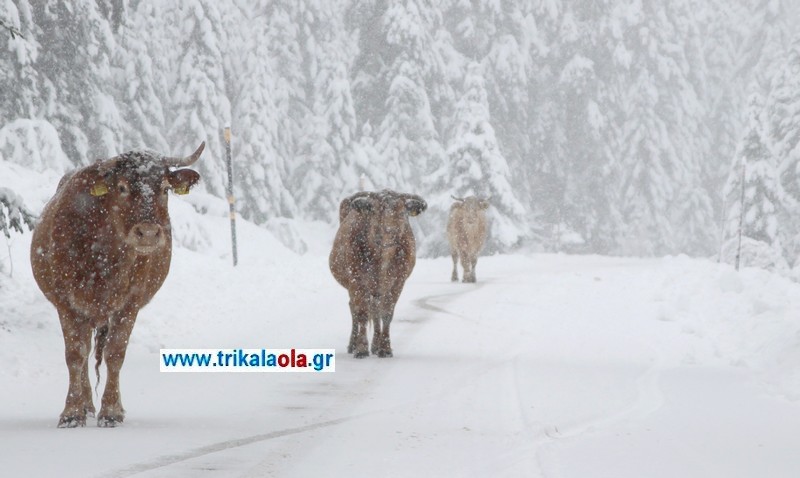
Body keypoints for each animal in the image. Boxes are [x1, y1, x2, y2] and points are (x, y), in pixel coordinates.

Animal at [30, 141, 206, 426]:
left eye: (165, 189)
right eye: (122, 187)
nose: (148, 232)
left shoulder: (129, 304)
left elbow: (115, 353)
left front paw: (112, 410)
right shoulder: (67, 303)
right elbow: (75, 354)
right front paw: (71, 412)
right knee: (85, 352)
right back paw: (85, 405)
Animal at [328, 189, 428, 356]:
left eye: (403, 212)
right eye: (375, 210)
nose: (391, 231)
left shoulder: (397, 283)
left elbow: (386, 313)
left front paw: (385, 349)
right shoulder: (357, 281)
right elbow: (362, 313)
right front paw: (361, 349)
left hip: (377, 290)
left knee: (375, 310)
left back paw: (375, 345)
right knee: (355, 309)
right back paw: (353, 345)